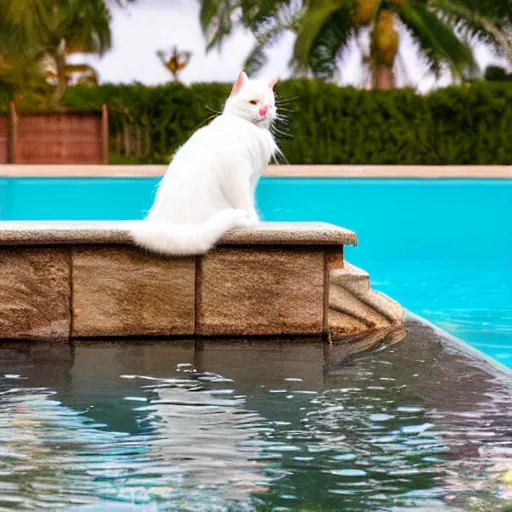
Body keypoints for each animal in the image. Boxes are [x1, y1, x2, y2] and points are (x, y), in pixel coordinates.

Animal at [128, 71, 280, 255]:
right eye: (253, 102)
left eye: (270, 105)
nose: (264, 111)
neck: (253, 130)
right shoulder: (235, 167)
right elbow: (244, 200)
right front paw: (252, 219)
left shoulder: (252, 179)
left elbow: (249, 196)